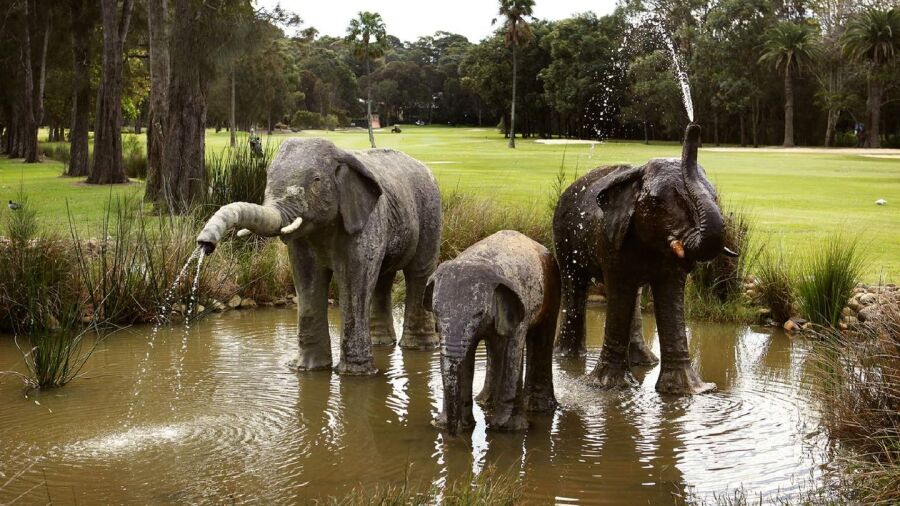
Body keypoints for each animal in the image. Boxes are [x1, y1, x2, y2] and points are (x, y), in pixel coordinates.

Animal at [197, 138, 442, 375]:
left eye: (316, 180)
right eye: (267, 178)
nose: (204, 244)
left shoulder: (366, 221)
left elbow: (355, 281)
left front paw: (355, 374)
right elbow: (307, 281)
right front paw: (307, 369)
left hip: (430, 208)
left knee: (418, 272)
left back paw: (419, 346)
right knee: (383, 277)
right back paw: (381, 343)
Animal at [425, 230, 559, 434]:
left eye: (479, 313)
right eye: (436, 312)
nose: (452, 433)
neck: (481, 260)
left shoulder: (519, 307)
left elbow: (513, 349)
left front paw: (506, 428)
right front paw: (456, 426)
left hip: (552, 285)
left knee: (541, 337)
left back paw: (539, 408)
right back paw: (485, 401)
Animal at [552, 124, 737, 395]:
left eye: (715, 196)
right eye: (657, 202)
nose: (693, 128)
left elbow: (670, 293)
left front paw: (689, 391)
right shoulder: (610, 236)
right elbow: (620, 287)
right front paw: (608, 387)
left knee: (635, 294)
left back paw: (644, 362)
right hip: (563, 234)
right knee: (574, 283)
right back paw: (567, 358)